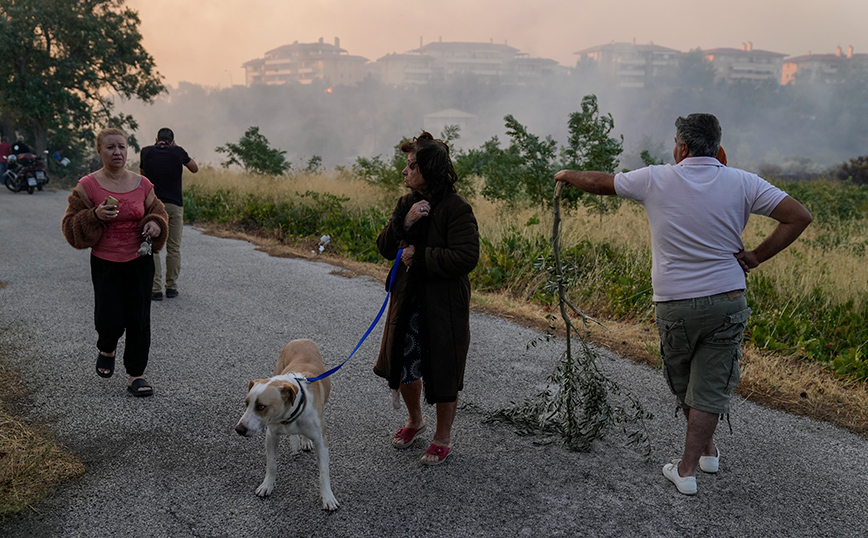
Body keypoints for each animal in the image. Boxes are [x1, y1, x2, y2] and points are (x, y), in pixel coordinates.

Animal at [234, 338, 340, 508]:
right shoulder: (271, 435)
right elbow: (271, 464)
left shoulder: (321, 441)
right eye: (246, 403)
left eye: (261, 407)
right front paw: (267, 485)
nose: (239, 429)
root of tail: (301, 339)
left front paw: (328, 498)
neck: (288, 417)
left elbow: (324, 472)